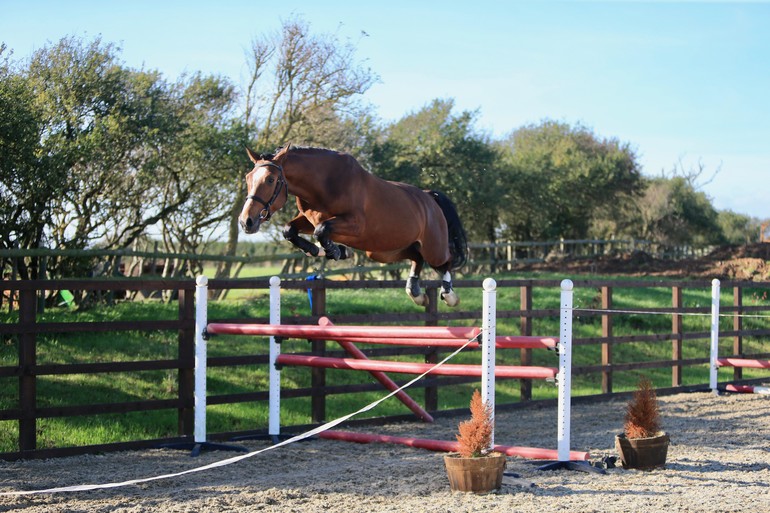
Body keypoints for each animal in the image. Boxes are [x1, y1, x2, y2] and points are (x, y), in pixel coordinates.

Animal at [237, 145, 464, 304]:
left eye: (270, 180)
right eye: (248, 178)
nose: (246, 221)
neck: (322, 184)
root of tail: (429, 197)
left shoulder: (355, 224)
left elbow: (321, 231)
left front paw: (336, 251)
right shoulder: (311, 219)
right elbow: (290, 230)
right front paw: (322, 250)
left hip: (433, 247)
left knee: (445, 261)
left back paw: (449, 295)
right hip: (384, 250)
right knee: (417, 257)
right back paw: (415, 293)